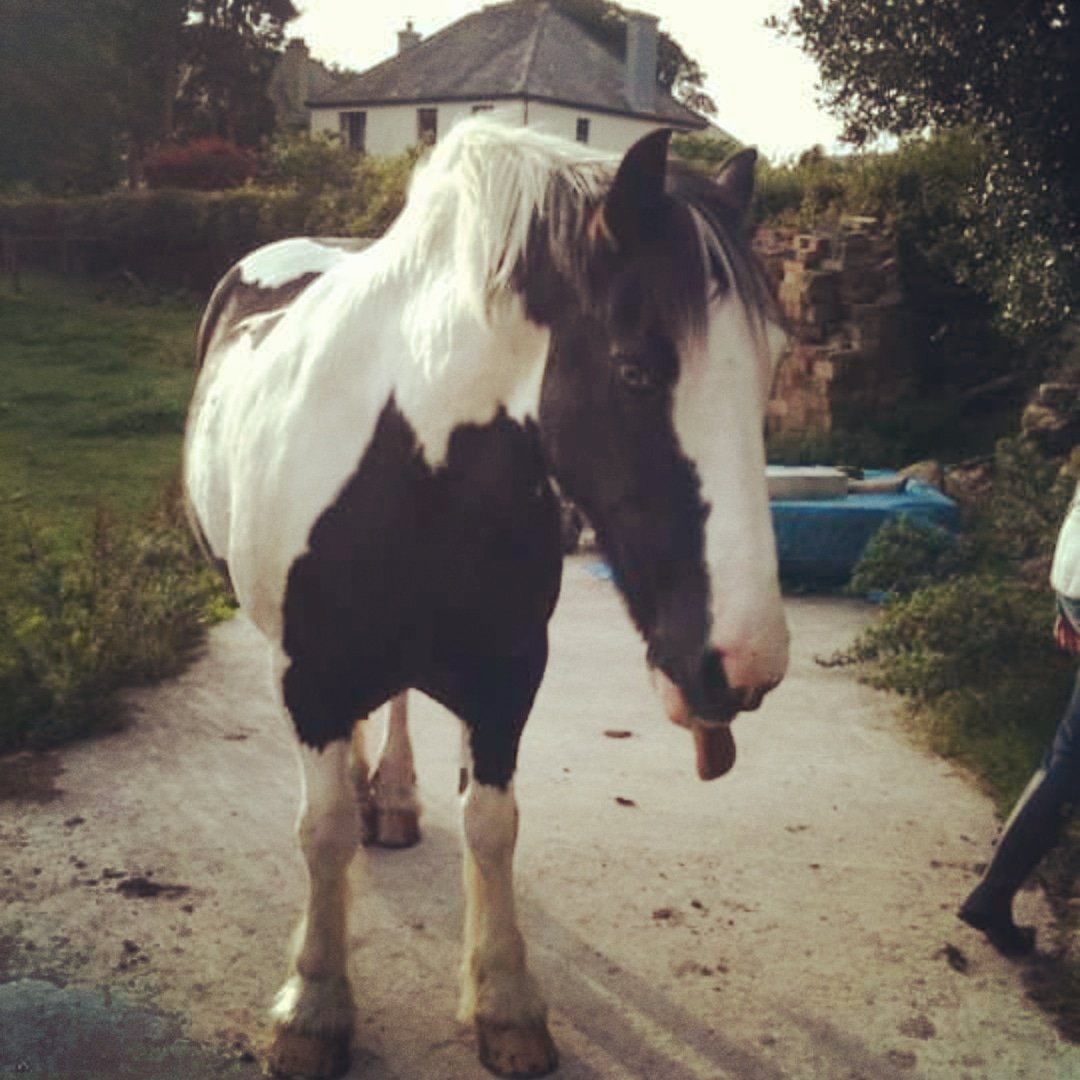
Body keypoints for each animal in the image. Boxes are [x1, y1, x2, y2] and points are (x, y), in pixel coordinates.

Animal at [183, 117, 789, 1079]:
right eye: (634, 370)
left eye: (772, 366)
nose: (742, 665)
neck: (411, 456)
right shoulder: (308, 676)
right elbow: (322, 830)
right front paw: (314, 1006)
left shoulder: (508, 675)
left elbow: (493, 826)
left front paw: (504, 1003)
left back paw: (391, 797)